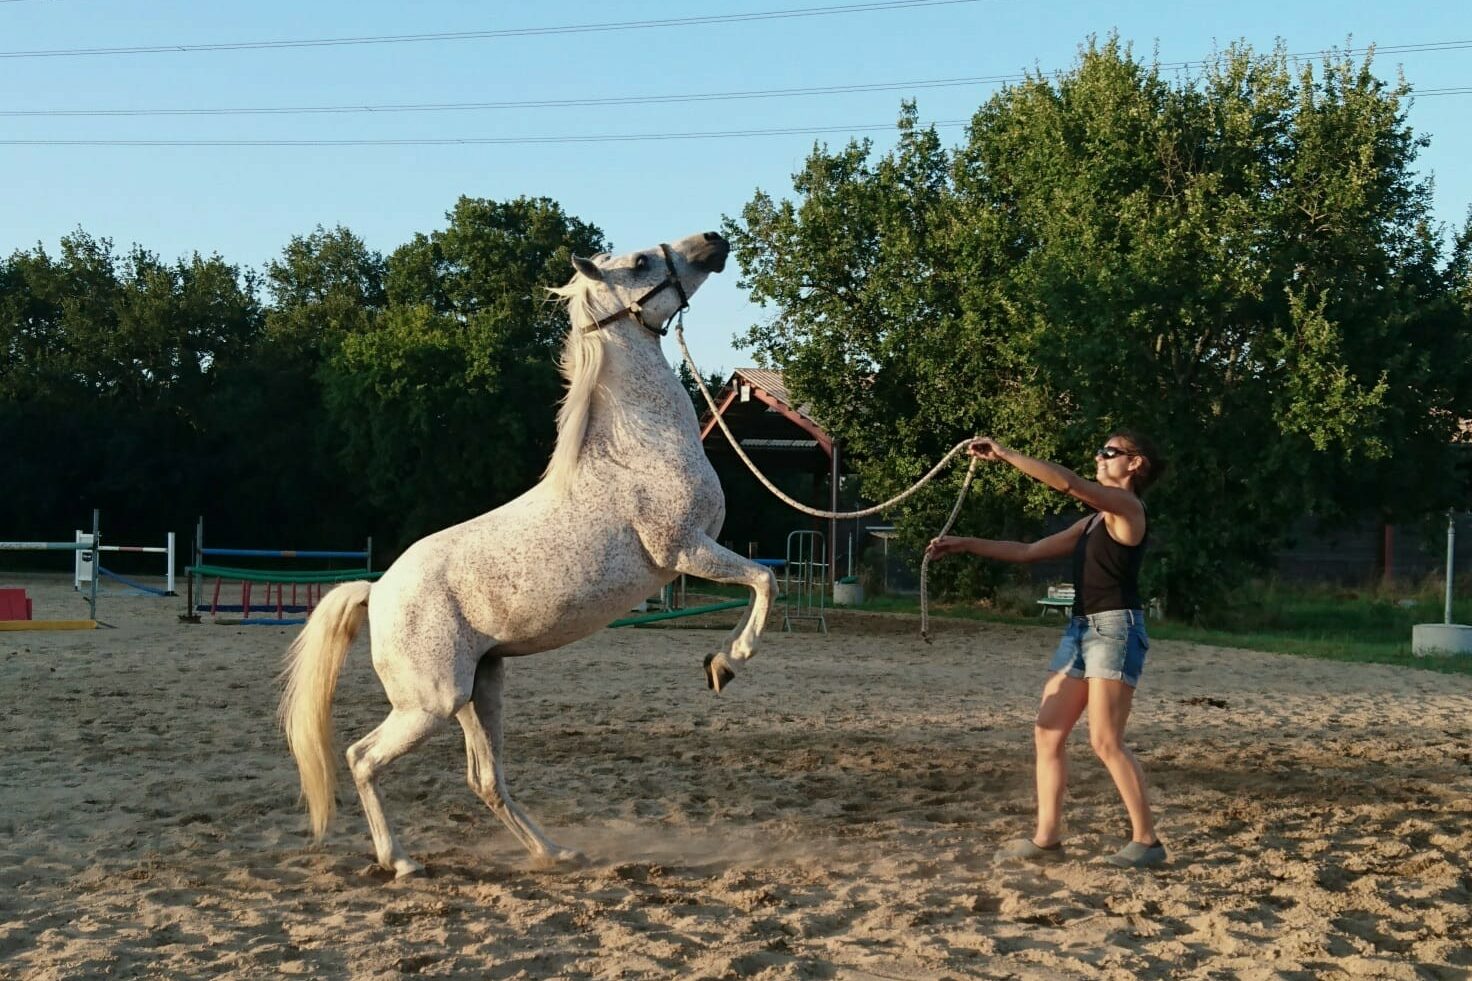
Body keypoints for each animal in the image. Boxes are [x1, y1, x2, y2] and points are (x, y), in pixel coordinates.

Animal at [278, 232, 783, 872]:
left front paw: (720, 662)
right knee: (361, 757)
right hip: (431, 704)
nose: (713, 242)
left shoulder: (693, 554)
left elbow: (760, 582)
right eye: (640, 261)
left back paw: (555, 852)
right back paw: (401, 861)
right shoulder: (685, 550)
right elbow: (764, 581)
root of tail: (377, 590)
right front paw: (725, 664)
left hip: (482, 689)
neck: (638, 450)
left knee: (485, 779)